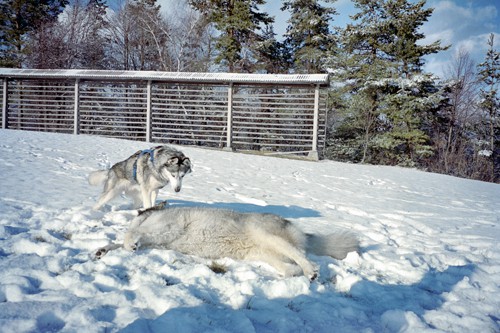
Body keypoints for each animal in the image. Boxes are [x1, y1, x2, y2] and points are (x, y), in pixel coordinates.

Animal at [94, 205, 360, 278]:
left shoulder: (165, 230)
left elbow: (130, 236)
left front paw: (128, 243)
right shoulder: (157, 241)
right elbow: (121, 241)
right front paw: (103, 249)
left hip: (266, 236)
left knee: (300, 256)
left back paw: (311, 271)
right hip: (262, 254)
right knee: (290, 267)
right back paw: (299, 273)